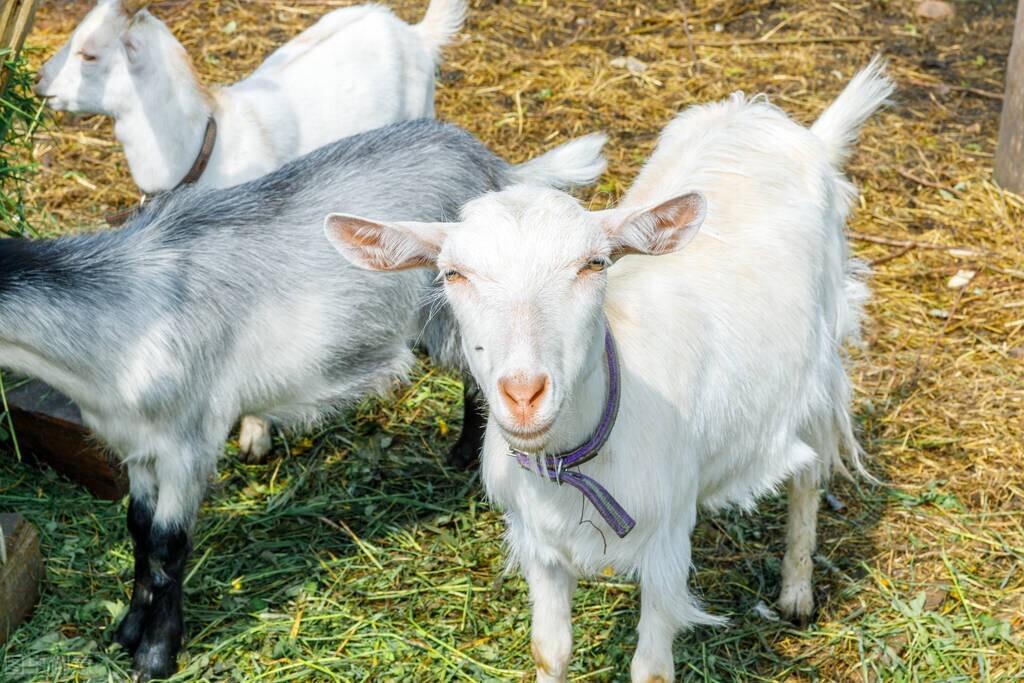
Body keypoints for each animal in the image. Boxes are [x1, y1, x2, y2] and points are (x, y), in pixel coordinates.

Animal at [0, 120, 606, 679]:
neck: (124, 319)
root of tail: (493, 166)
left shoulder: (187, 445)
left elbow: (168, 546)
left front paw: (155, 654)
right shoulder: (138, 448)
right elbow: (139, 532)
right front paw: (127, 629)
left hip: (453, 321)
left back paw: (469, 456)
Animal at [325, 61, 888, 679]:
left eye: (594, 264)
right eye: (453, 273)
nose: (524, 394)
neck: (581, 457)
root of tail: (781, 124)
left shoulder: (667, 546)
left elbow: (652, 668)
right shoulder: (540, 547)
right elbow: (549, 650)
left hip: (819, 363)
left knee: (810, 471)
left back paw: (796, 593)